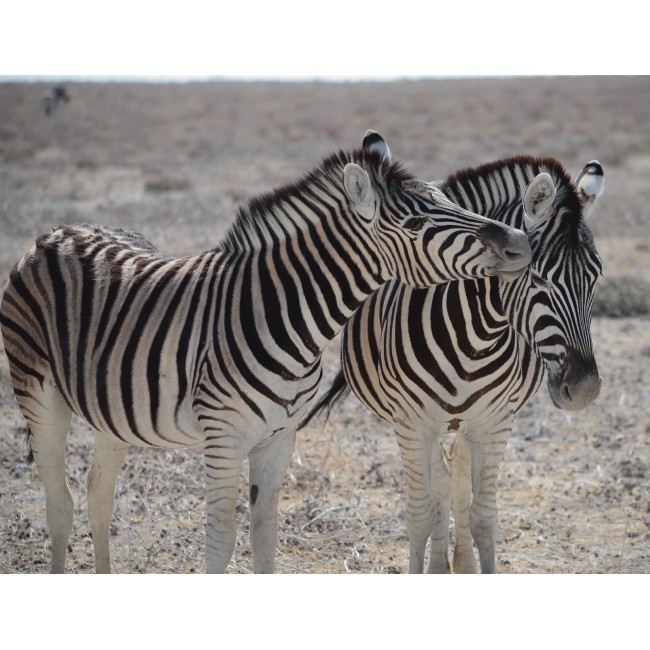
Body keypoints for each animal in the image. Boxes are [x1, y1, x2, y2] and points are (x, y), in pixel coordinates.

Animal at [0, 131, 533, 574]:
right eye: (419, 221)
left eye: (448, 199)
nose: (519, 242)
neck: (289, 321)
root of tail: (59, 231)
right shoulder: (223, 435)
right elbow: (220, 540)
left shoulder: (280, 437)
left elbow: (263, 538)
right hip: (38, 392)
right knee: (60, 505)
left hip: (112, 410)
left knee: (98, 495)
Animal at [302, 155, 604, 573]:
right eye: (538, 279)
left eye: (596, 277)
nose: (585, 389)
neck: (475, 339)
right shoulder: (412, 425)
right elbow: (420, 514)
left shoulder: (495, 423)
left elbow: (483, 517)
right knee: (441, 482)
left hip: (466, 423)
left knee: (457, 471)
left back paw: (460, 561)